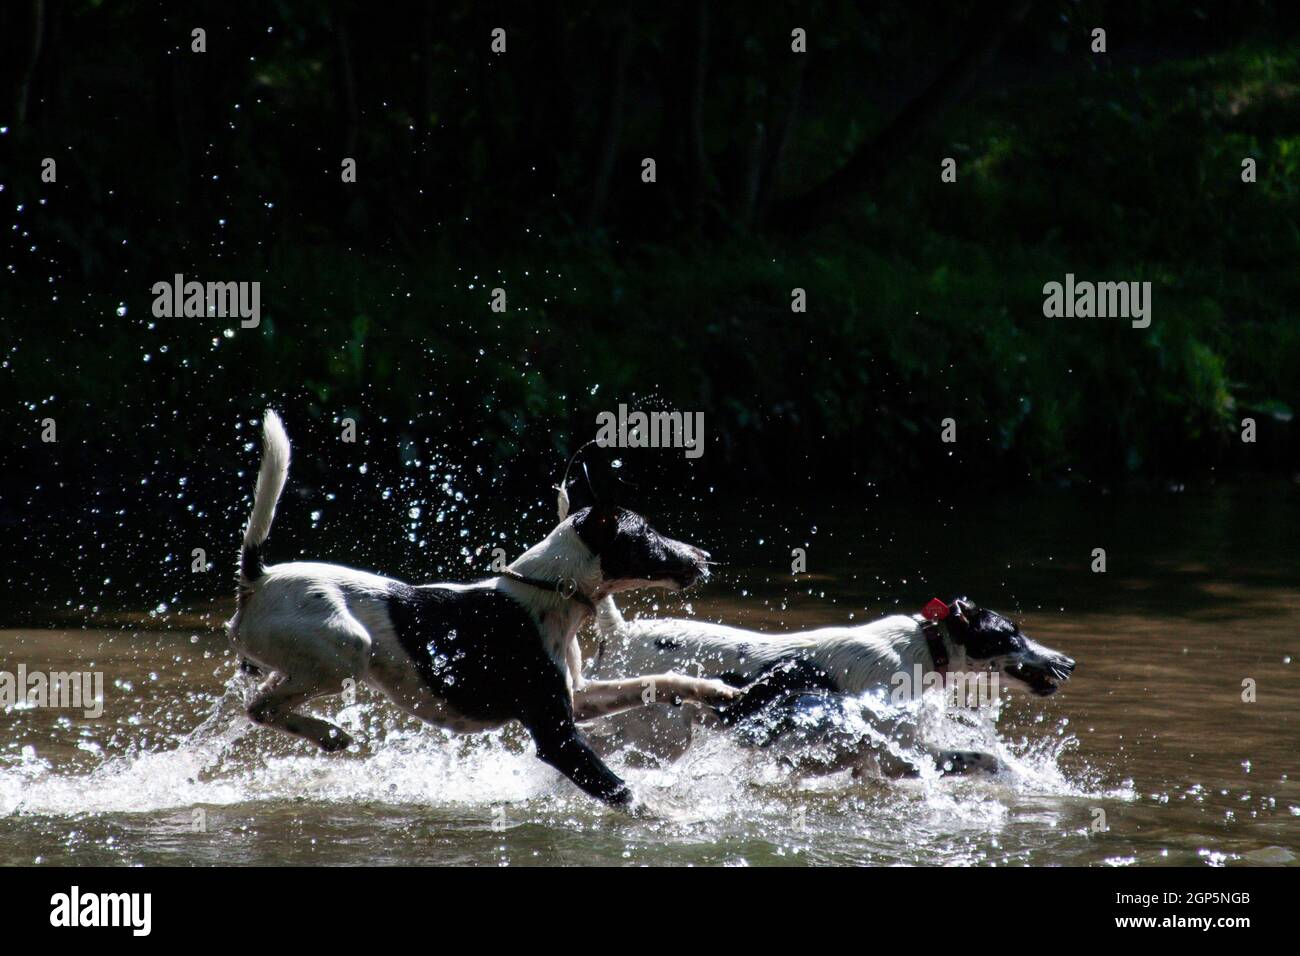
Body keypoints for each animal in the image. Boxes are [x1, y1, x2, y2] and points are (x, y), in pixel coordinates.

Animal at [223, 411, 743, 806]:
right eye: (648, 534)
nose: (704, 557)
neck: (552, 593)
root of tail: (256, 578)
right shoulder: (557, 736)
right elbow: (621, 791)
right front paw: (675, 820)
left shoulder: (579, 696)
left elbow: (657, 680)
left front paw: (716, 690)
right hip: (346, 650)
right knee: (259, 706)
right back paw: (327, 733)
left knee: (263, 704)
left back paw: (328, 736)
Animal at [590, 595, 1076, 780]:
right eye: (1010, 634)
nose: (1069, 662)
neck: (922, 647)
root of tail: (622, 633)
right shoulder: (900, 751)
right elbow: (988, 759)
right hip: (661, 738)